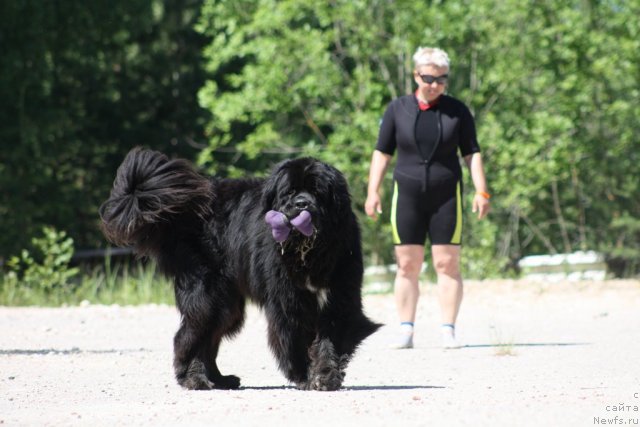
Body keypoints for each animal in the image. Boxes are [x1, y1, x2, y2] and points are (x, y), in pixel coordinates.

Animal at [99, 149, 380, 392]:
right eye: (289, 192)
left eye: (318, 192)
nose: (302, 203)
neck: (307, 252)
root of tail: (185, 212)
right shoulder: (288, 301)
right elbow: (295, 338)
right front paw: (304, 375)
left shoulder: (340, 296)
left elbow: (331, 339)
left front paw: (325, 376)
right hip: (207, 293)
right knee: (189, 335)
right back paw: (194, 379)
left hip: (227, 304)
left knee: (209, 339)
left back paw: (219, 379)